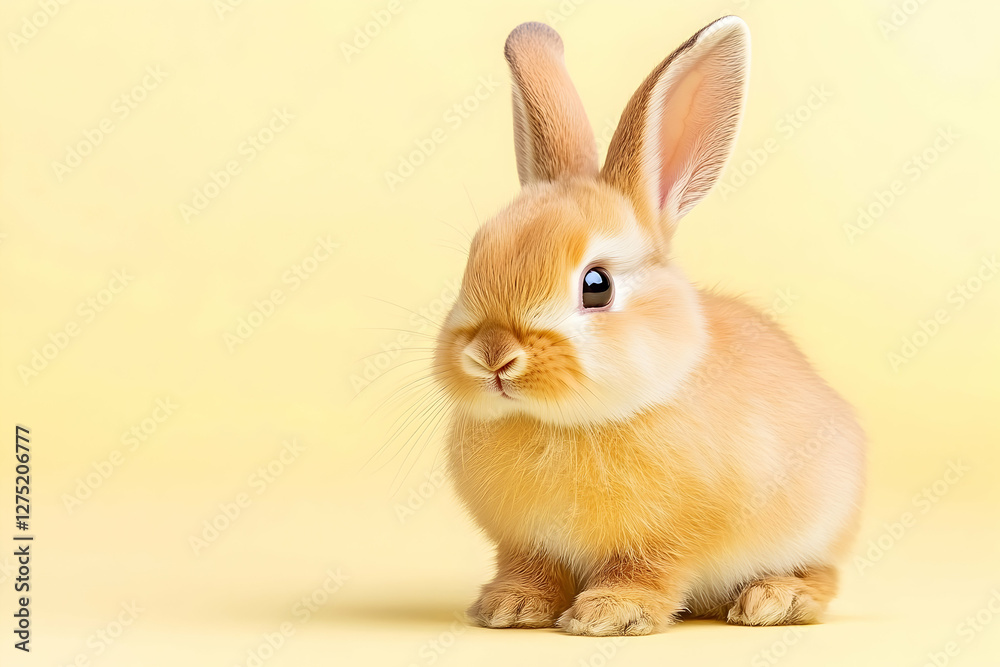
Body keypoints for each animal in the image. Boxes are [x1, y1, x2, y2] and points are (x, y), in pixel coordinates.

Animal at [432, 15, 865, 636]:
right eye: (474, 260)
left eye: (596, 285)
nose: (492, 355)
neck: (567, 423)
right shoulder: (526, 543)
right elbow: (530, 568)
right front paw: (508, 607)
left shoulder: (667, 540)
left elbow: (644, 568)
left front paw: (610, 614)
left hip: (816, 523)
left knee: (823, 575)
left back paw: (774, 600)